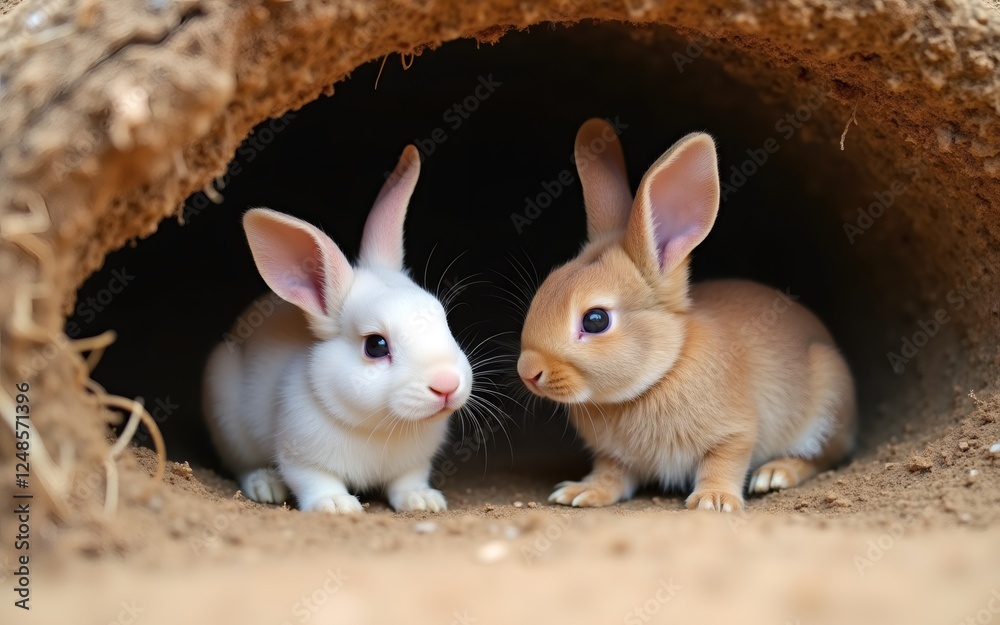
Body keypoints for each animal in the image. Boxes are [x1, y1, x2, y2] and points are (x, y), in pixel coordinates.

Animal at [202, 145, 473, 514]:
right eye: (376, 345)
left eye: (442, 319)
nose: (446, 384)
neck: (381, 426)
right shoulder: (300, 456)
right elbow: (315, 480)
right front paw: (336, 505)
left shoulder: (414, 464)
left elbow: (407, 481)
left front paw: (423, 501)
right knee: (242, 466)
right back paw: (265, 485)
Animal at [516, 119, 856, 512]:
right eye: (546, 287)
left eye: (595, 320)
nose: (528, 371)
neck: (663, 371)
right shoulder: (613, 457)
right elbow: (610, 474)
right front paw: (581, 492)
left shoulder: (735, 433)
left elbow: (724, 461)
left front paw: (714, 501)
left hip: (827, 403)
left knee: (823, 456)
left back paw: (776, 474)